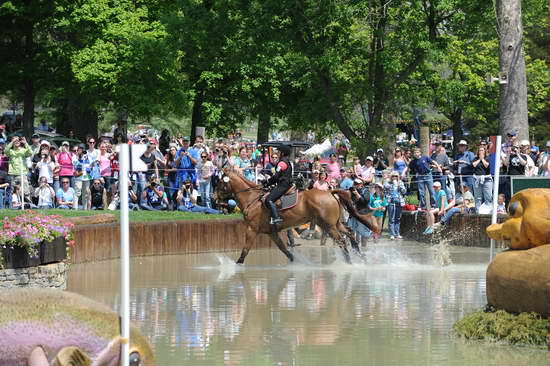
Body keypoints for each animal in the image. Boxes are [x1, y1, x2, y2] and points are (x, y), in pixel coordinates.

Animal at [216, 169, 380, 264]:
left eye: (219, 183)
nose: (214, 197)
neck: (252, 199)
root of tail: (329, 191)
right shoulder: (271, 232)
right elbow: (283, 249)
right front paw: (293, 261)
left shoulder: (252, 229)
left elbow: (245, 250)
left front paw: (237, 265)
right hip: (335, 223)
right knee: (350, 234)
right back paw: (360, 256)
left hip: (328, 226)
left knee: (341, 241)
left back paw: (349, 262)